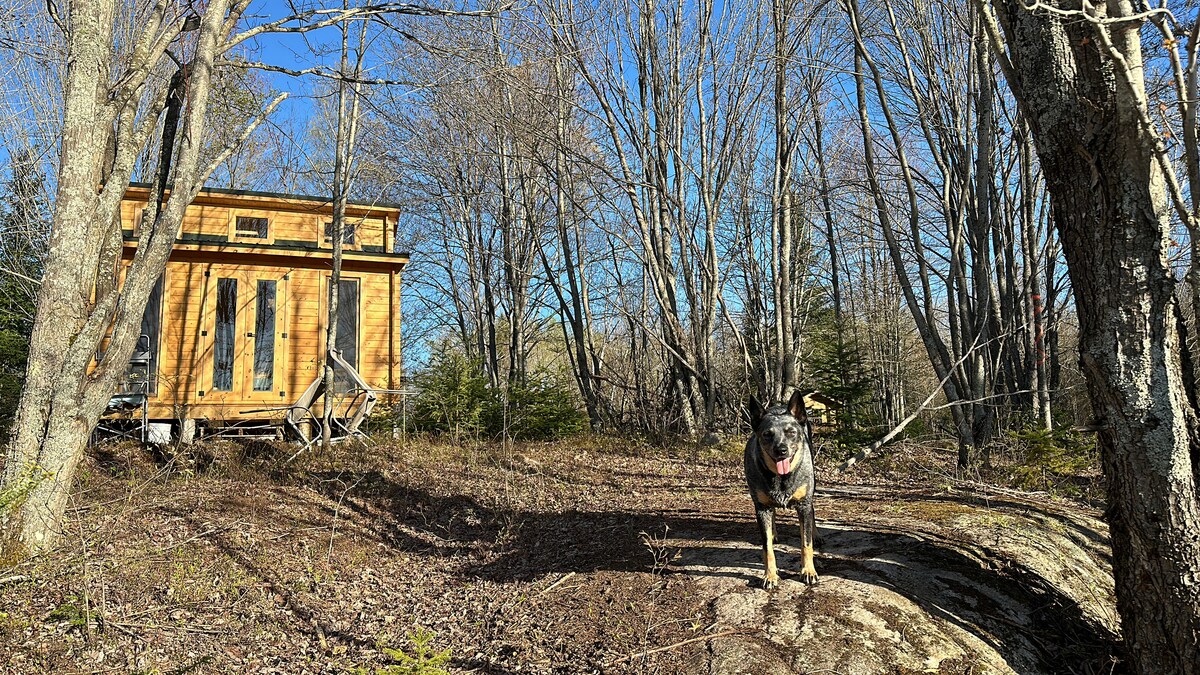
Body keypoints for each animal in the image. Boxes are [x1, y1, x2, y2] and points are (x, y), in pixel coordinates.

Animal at [744, 389, 818, 589]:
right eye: (767, 434)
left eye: (791, 432)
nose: (781, 450)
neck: (781, 478)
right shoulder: (761, 507)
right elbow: (767, 547)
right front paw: (770, 575)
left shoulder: (803, 504)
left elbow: (806, 543)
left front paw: (808, 571)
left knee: (813, 511)